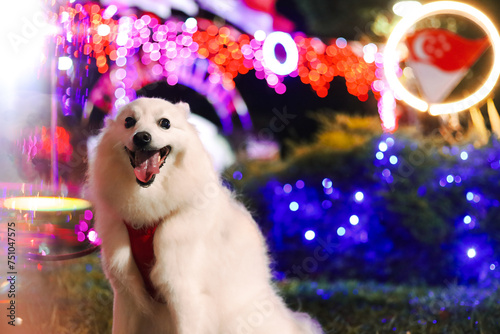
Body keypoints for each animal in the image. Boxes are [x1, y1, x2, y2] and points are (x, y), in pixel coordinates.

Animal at [87, 97, 322, 334]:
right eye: (129, 122)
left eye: (165, 123)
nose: (141, 137)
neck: (149, 213)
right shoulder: (125, 294)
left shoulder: (184, 292)